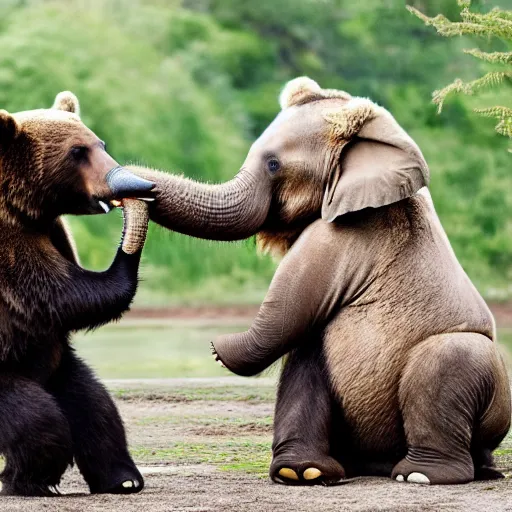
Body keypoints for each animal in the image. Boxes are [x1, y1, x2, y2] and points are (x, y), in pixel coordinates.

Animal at [0, 92, 154, 496]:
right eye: (76, 152)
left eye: (101, 144)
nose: (133, 185)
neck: (24, 210)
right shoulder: (9, 246)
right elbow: (60, 295)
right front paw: (129, 242)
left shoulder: (54, 230)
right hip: (6, 367)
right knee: (37, 419)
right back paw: (25, 480)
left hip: (57, 366)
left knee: (94, 406)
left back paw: (123, 476)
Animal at [128, 78, 508, 486]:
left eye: (274, 164)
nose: (121, 187)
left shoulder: (337, 236)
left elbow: (282, 319)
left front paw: (217, 348)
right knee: (310, 355)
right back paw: (303, 473)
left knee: (447, 357)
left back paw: (419, 475)